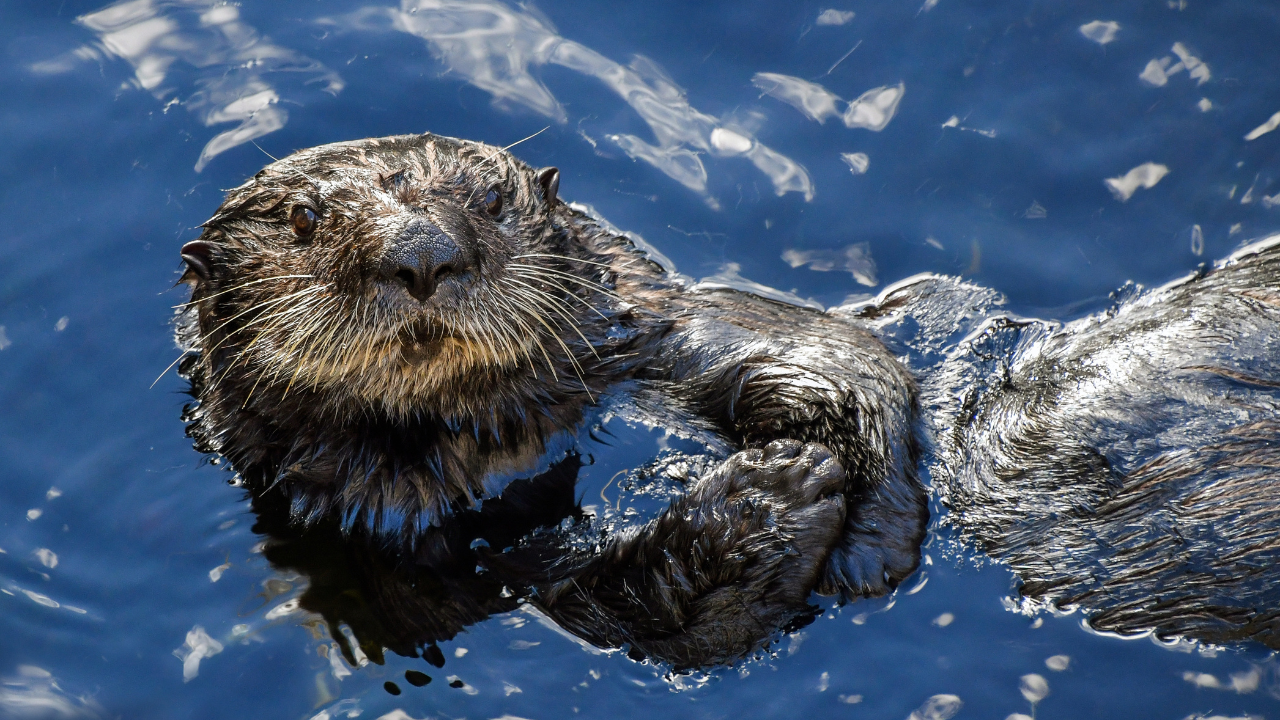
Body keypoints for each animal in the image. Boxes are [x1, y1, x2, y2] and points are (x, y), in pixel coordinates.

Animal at [175, 133, 926, 661]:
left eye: (490, 202)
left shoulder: (641, 325)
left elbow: (836, 354)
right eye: (303, 217)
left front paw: (865, 532)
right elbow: (591, 608)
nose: (421, 252)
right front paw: (765, 502)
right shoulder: (377, 537)